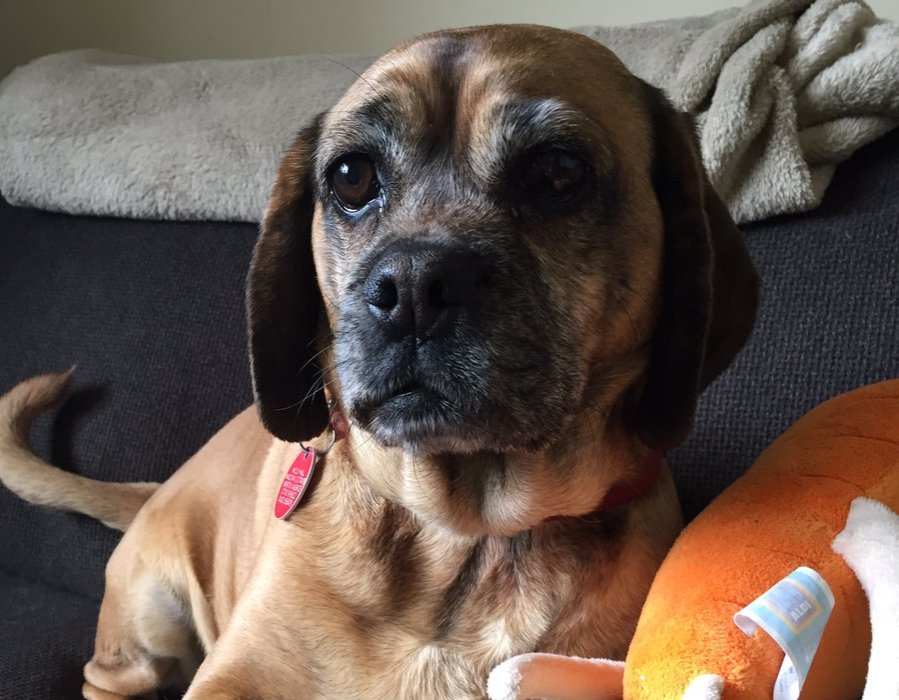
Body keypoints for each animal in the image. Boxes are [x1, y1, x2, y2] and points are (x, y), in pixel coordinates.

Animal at [0, 23, 760, 700]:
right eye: (351, 175)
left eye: (557, 172)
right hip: (147, 628)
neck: (465, 541)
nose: (414, 288)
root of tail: (160, 488)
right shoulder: (235, 679)